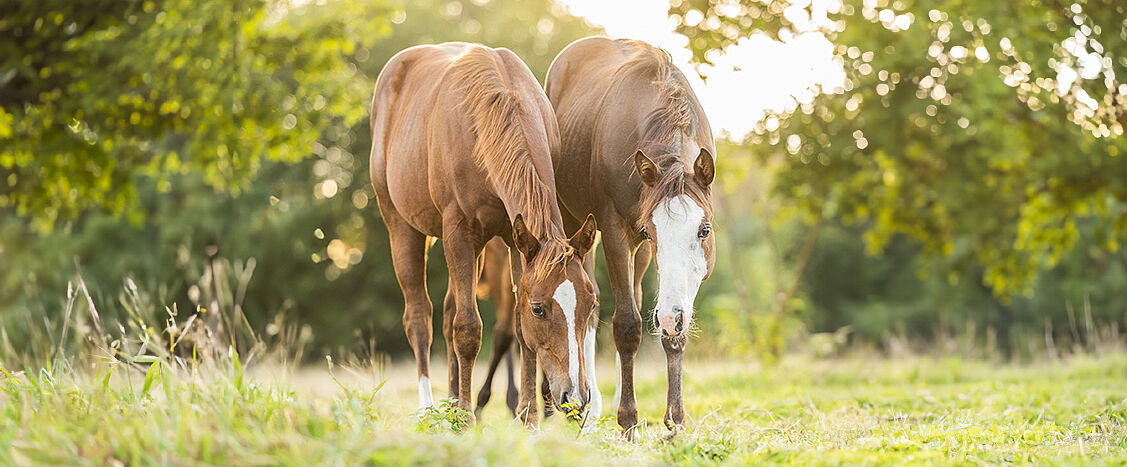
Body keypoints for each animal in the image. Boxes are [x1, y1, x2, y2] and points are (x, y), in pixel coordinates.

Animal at [369, 42, 599, 426]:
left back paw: (451, 401)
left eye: (591, 303)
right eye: (540, 309)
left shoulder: (516, 240)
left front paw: (528, 416)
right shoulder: (459, 234)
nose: (576, 399)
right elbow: (467, 329)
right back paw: (429, 407)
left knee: (447, 312)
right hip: (402, 228)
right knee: (419, 318)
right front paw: (466, 417)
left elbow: (517, 331)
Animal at [545, 37, 716, 434]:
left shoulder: (652, 259)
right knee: (588, 306)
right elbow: (627, 325)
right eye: (653, 231)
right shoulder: (616, 232)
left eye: (704, 230)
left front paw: (676, 420)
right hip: (575, 223)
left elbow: (673, 330)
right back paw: (587, 410)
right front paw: (627, 422)